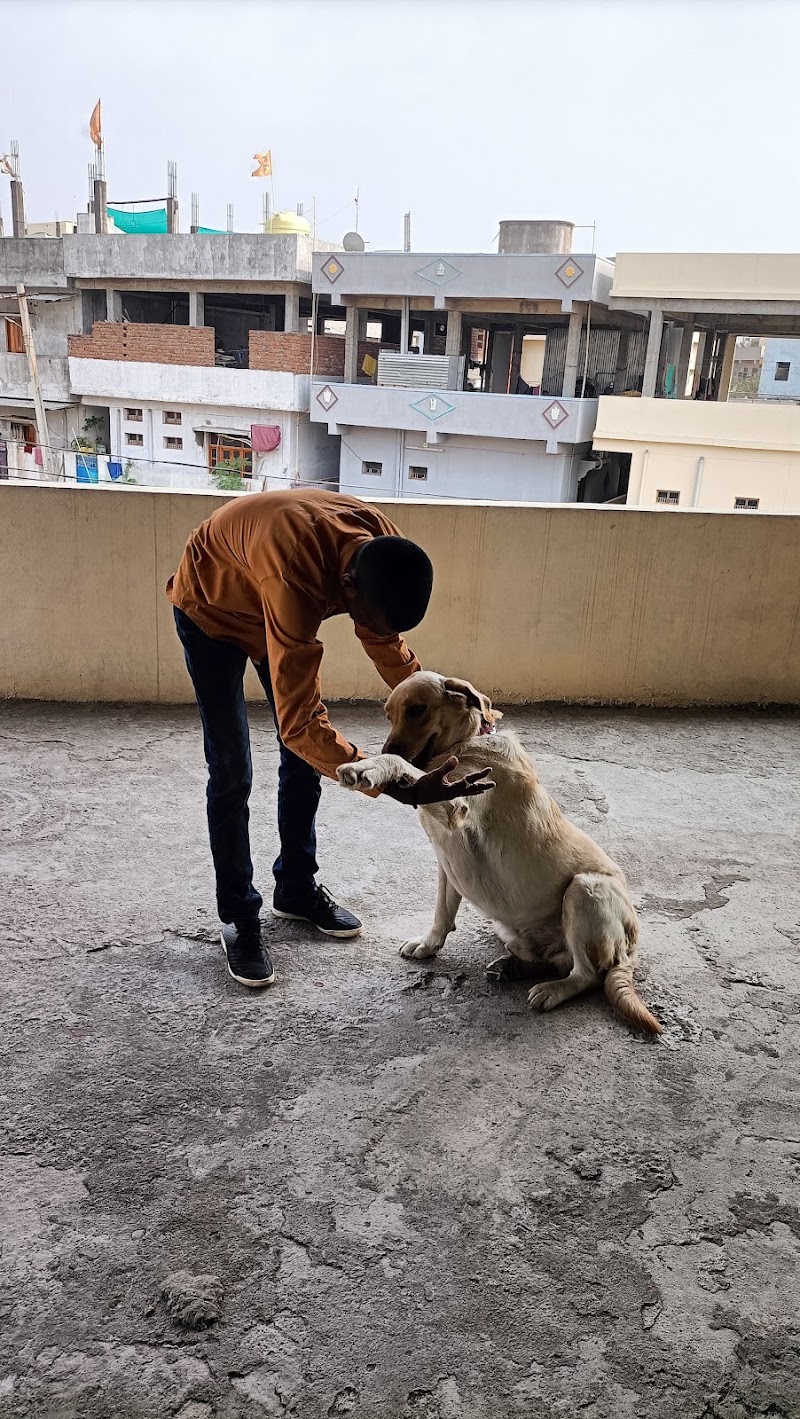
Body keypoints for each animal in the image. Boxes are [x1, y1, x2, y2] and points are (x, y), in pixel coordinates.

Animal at [338, 671, 661, 1035]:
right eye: (389, 716)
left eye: (417, 710)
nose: (385, 747)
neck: (466, 743)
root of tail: (631, 949)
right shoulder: (445, 861)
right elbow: (442, 913)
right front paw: (429, 943)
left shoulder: (455, 804)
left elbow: (402, 765)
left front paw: (370, 767)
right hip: (510, 925)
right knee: (553, 960)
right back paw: (514, 967)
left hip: (584, 889)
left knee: (588, 975)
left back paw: (552, 989)